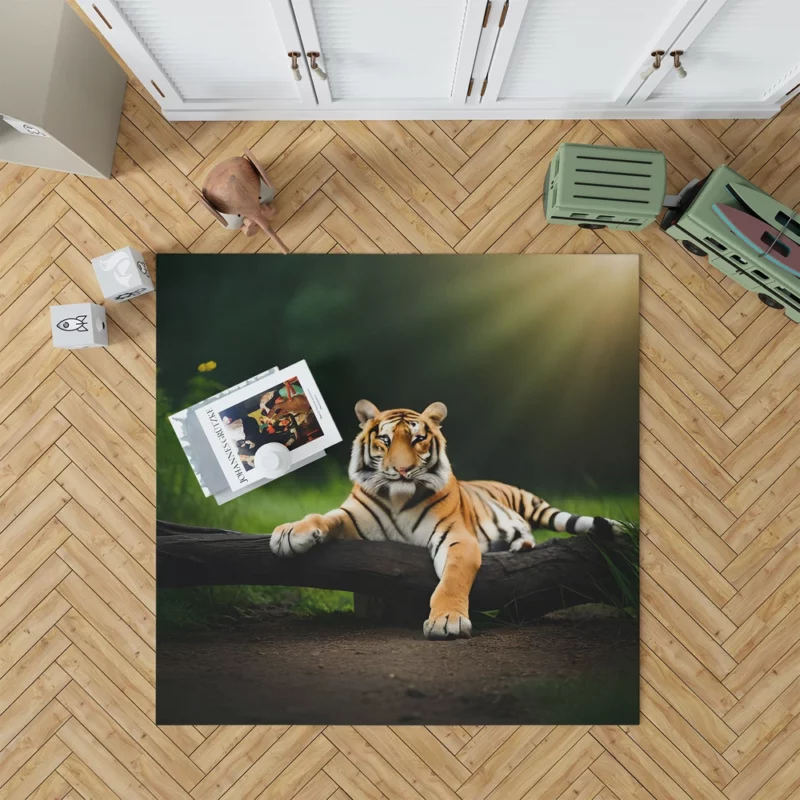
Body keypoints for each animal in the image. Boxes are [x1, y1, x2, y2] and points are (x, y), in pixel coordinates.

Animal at [268, 404, 620, 640]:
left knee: (555, 520)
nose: (402, 471)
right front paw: (289, 533)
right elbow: (323, 517)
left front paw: (448, 621)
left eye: (417, 439)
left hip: (529, 503)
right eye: (385, 440)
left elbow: (452, 580)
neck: (398, 497)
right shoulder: (352, 519)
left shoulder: (456, 537)